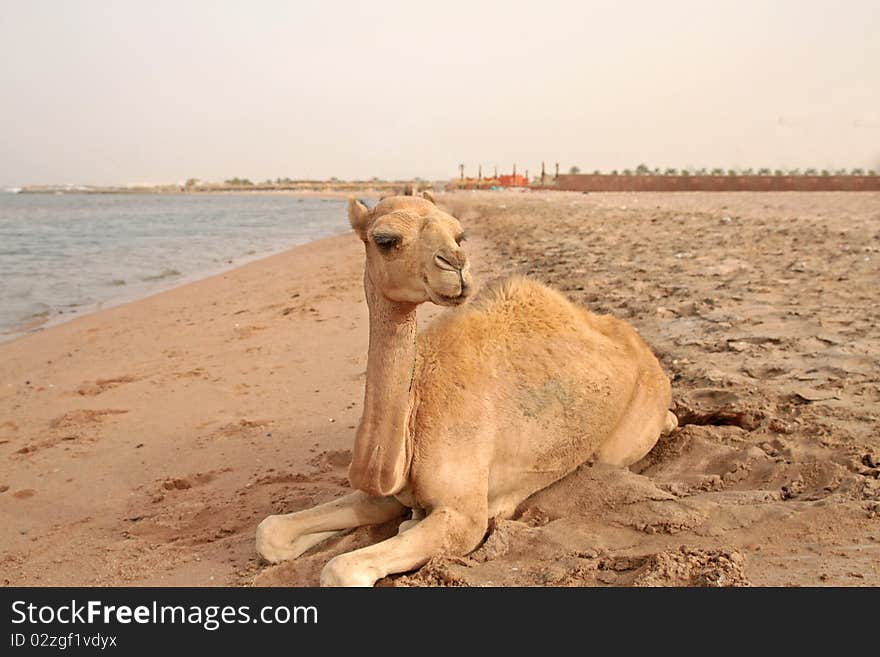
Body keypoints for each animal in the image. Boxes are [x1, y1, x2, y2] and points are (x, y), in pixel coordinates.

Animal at [254, 193, 672, 584]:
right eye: (385, 239)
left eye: (460, 234)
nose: (455, 264)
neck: (415, 409)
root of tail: (645, 350)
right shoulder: (390, 492)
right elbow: (270, 531)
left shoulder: (464, 515)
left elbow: (341, 568)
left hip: (627, 435)